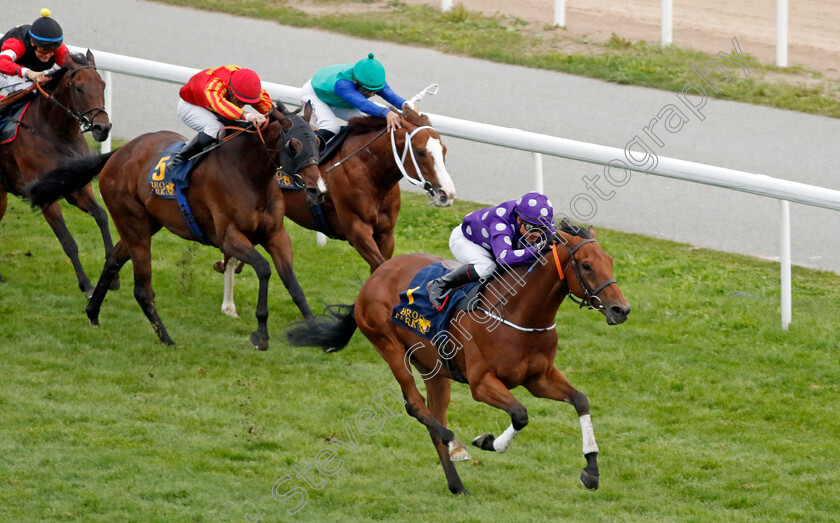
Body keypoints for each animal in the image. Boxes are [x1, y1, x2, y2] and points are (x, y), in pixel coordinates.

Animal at [0, 50, 112, 292]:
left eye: (102, 85)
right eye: (78, 88)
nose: (103, 128)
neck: (58, 135)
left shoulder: (76, 188)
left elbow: (101, 215)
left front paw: (112, 275)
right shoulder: (45, 197)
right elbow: (68, 242)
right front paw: (87, 285)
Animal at [28, 101, 324, 352]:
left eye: (319, 142)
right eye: (293, 145)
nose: (317, 190)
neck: (249, 173)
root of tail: (119, 152)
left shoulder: (276, 234)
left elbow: (293, 284)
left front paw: (316, 329)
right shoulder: (228, 236)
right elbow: (263, 269)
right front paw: (260, 334)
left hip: (144, 224)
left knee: (112, 260)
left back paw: (93, 313)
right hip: (133, 223)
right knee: (142, 289)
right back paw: (166, 338)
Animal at [213, 107, 456, 318]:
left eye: (444, 150)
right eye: (421, 152)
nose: (447, 194)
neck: (368, 170)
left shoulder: (386, 234)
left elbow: (380, 269)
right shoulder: (357, 231)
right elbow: (380, 266)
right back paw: (228, 305)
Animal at [286, 223, 628, 498]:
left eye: (610, 261)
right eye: (586, 265)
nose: (621, 310)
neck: (517, 313)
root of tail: (376, 276)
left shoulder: (539, 378)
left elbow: (580, 400)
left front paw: (591, 471)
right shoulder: (482, 383)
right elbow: (520, 414)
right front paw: (488, 442)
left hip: (435, 370)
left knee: (433, 417)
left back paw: (457, 484)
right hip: (388, 345)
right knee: (415, 405)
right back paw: (457, 445)